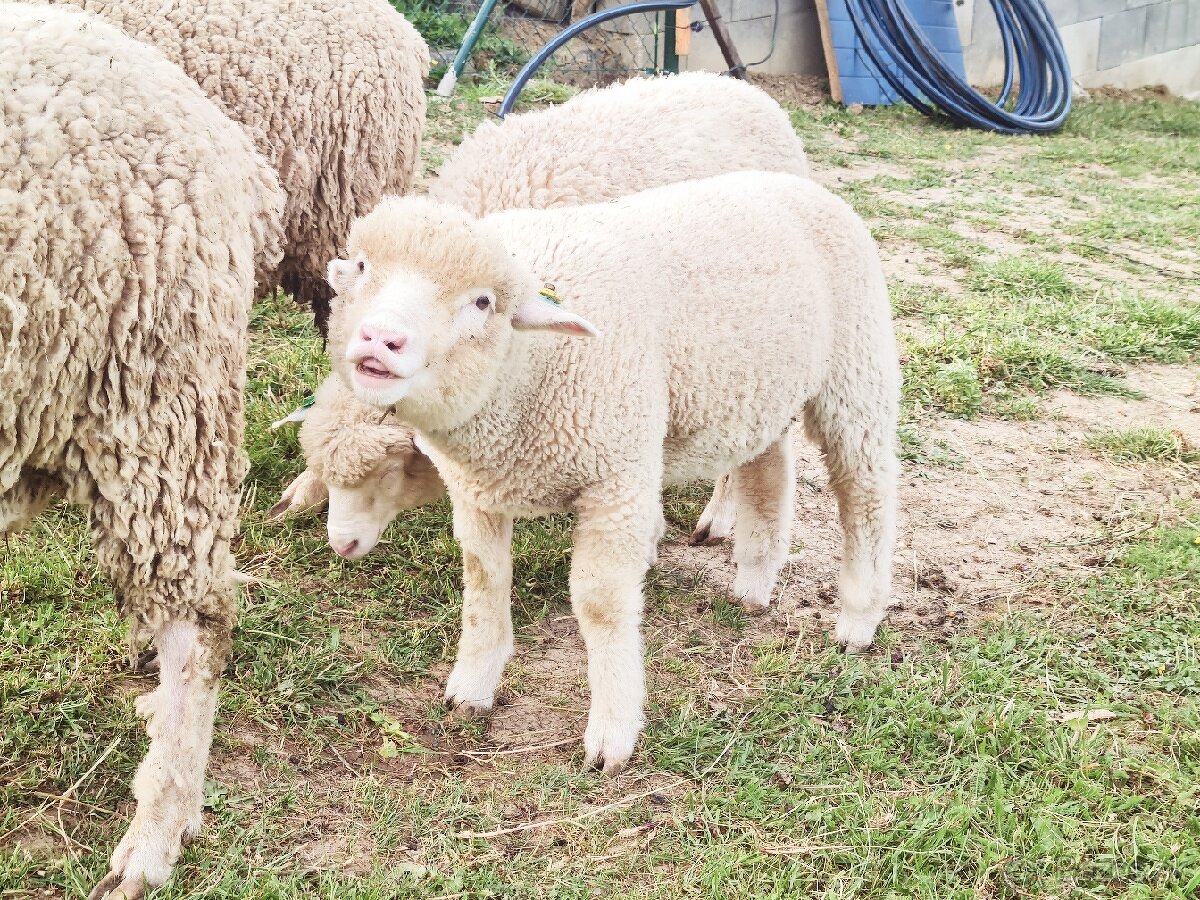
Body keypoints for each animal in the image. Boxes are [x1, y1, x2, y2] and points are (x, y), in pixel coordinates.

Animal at [273, 70, 811, 547]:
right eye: (362, 266)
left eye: (390, 473)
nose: (341, 543)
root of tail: (750, 92)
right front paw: (300, 492)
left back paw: (719, 515)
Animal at [324, 169, 897, 777]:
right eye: (361, 266)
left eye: (482, 302)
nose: (381, 338)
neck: (528, 368)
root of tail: (799, 182)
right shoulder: (475, 489)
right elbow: (484, 579)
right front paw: (472, 686)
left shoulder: (615, 480)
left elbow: (601, 604)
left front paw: (614, 733)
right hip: (757, 389)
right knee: (769, 470)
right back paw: (754, 583)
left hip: (856, 370)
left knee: (866, 489)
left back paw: (858, 620)